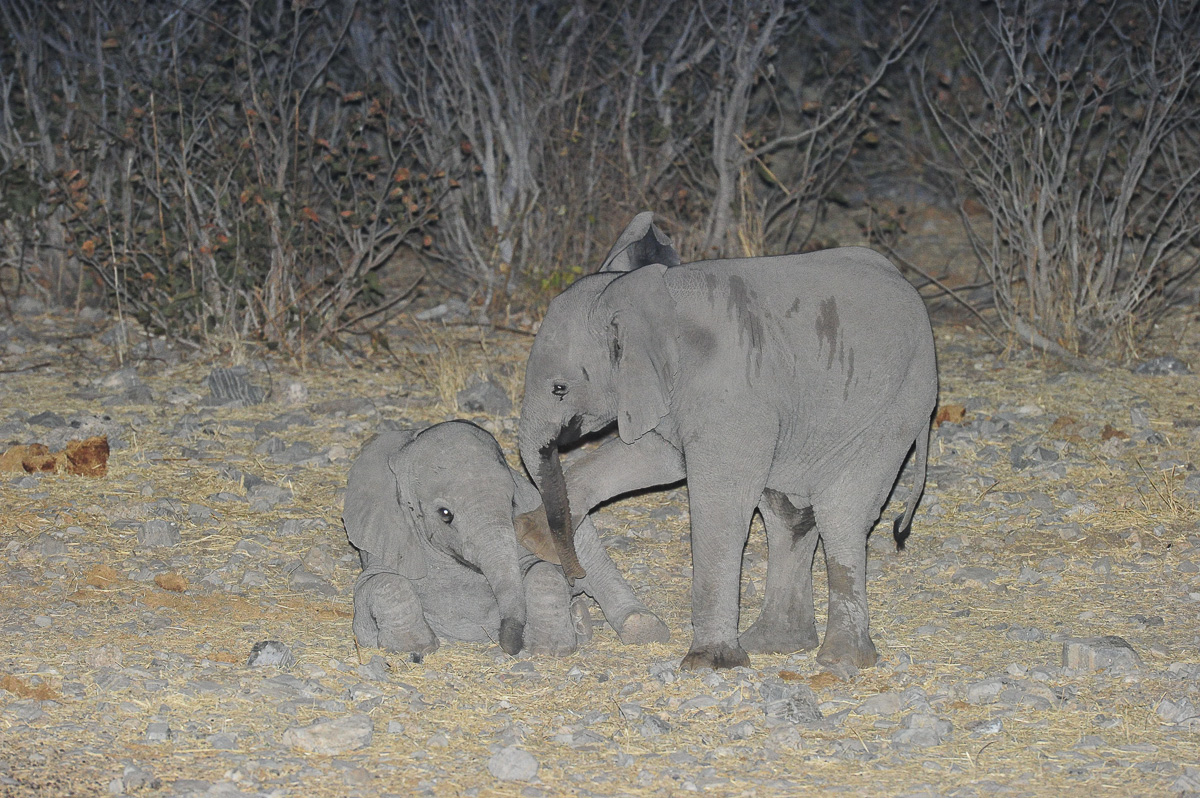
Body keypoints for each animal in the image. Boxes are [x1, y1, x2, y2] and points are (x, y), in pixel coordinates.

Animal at [343, 420, 668, 662]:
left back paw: (638, 627)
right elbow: (380, 582)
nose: (510, 646)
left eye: (512, 502)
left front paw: (549, 650)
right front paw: (412, 648)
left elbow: (543, 570)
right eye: (445, 514)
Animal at [518, 213, 937, 672]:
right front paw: (531, 535)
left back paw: (840, 660)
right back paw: (777, 645)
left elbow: (719, 499)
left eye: (559, 389)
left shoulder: (732, 392)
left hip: (895, 405)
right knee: (788, 514)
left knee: (839, 511)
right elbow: (656, 458)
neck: (650, 296)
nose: (573, 574)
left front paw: (707, 664)